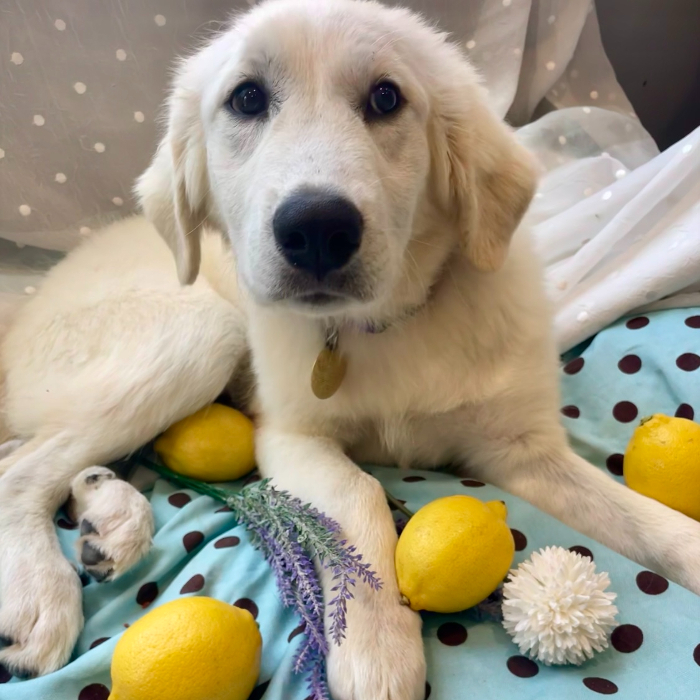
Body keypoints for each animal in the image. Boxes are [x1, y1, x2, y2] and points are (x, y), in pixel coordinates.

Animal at [1, 2, 700, 696]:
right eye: (247, 98)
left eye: (386, 98)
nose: (315, 229)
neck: (379, 326)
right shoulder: (290, 437)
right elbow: (359, 494)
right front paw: (375, 642)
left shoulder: (523, 450)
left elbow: (640, 519)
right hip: (203, 328)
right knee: (20, 471)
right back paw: (41, 595)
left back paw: (107, 520)